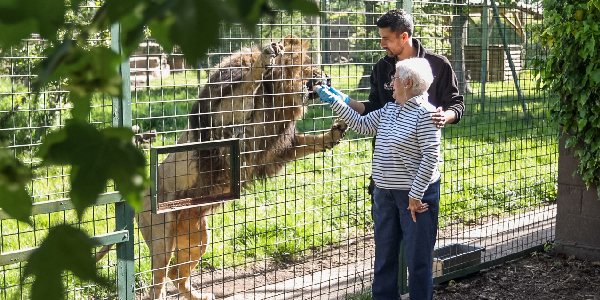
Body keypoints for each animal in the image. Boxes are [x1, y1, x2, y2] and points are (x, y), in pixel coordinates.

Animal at [96, 35, 350, 300]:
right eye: (311, 65)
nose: (329, 78)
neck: (280, 98)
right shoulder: (226, 118)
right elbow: (247, 87)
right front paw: (265, 58)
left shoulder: (273, 150)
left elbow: (308, 143)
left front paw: (334, 134)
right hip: (161, 238)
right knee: (159, 281)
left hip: (197, 236)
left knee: (177, 274)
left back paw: (199, 296)